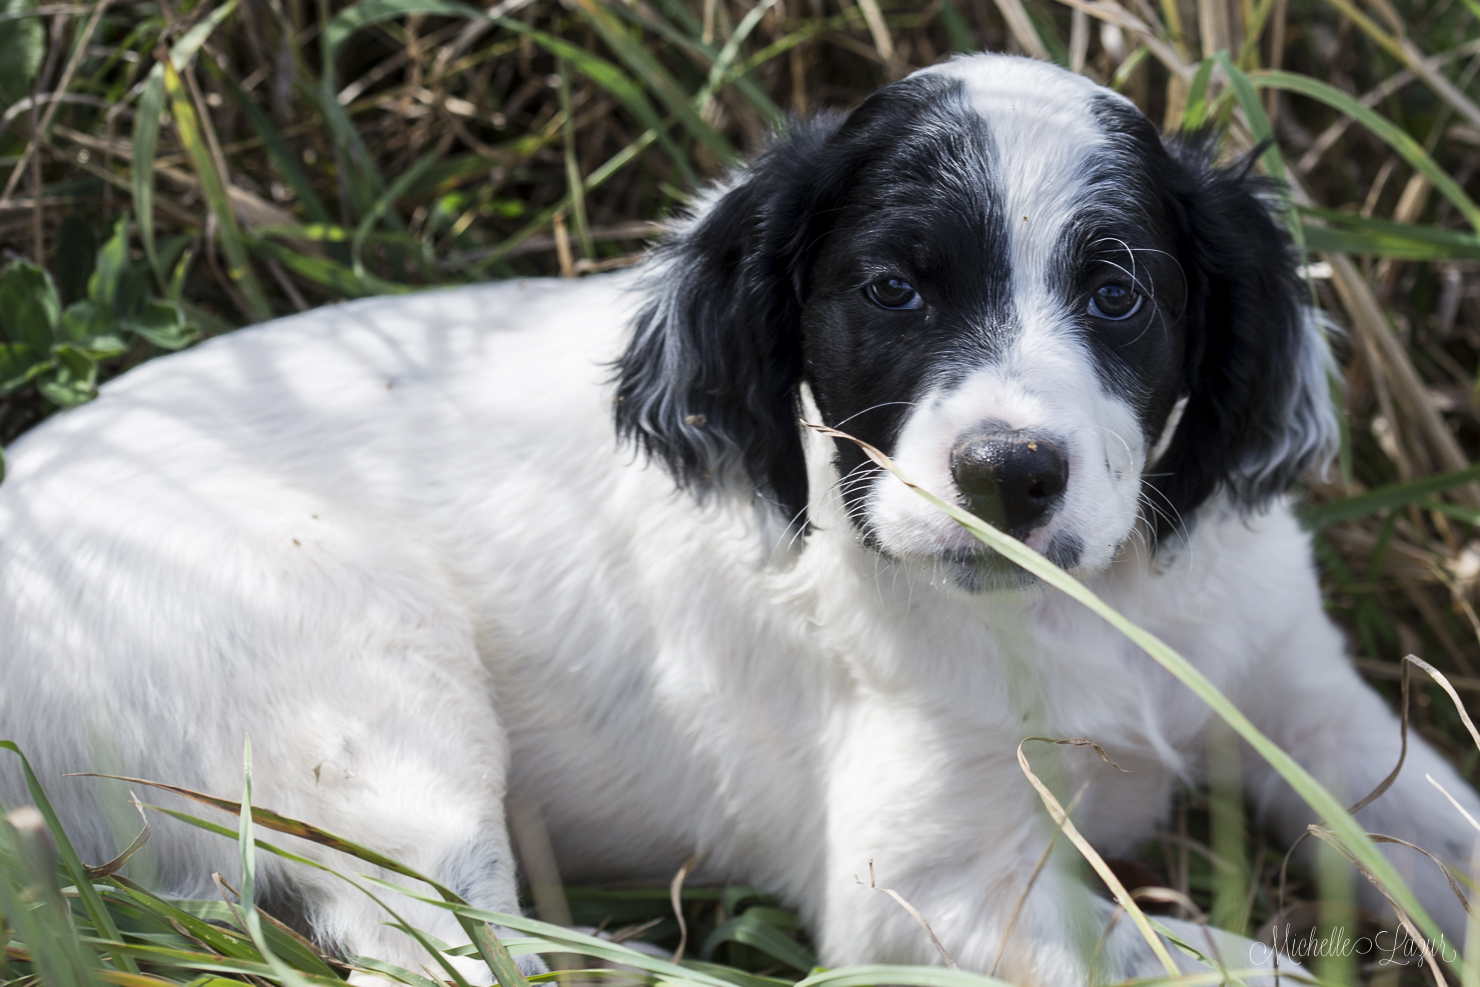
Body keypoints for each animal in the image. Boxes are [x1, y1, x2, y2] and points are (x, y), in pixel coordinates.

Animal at [2, 54, 1480, 987]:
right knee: (438, 939)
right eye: (892, 289)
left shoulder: (1301, 694)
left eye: (1117, 293)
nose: (1008, 475)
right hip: (367, 702)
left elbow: (1437, 827)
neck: (1091, 608)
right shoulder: (914, 887)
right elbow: (1187, 957)